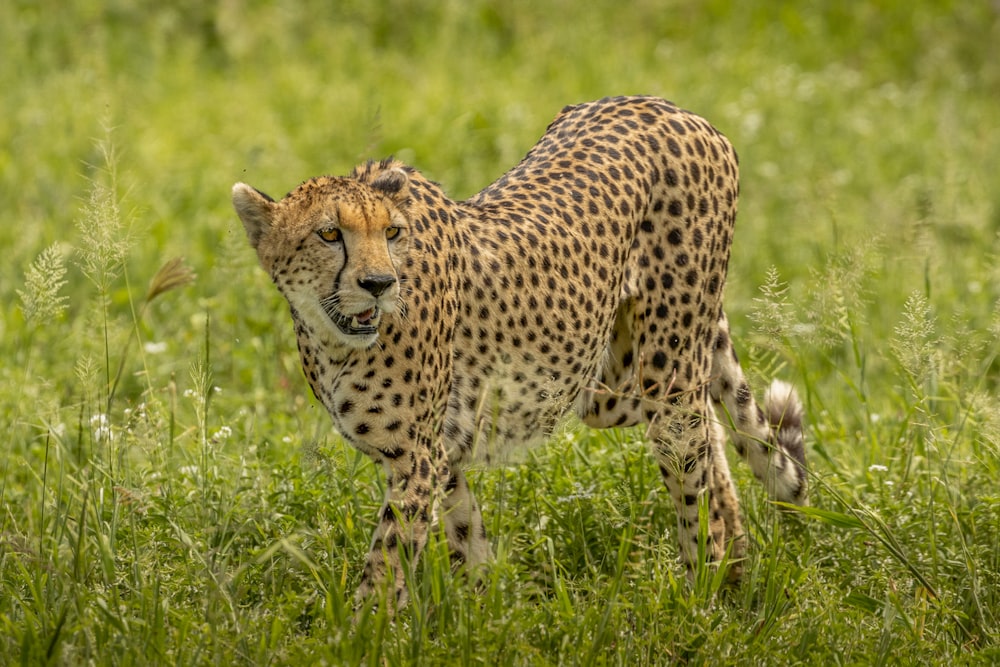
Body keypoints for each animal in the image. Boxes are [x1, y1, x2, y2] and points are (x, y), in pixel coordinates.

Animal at [232, 94, 804, 612]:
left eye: (391, 232)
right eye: (329, 233)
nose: (379, 283)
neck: (334, 339)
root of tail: (672, 107)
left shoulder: (417, 458)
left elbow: (386, 566)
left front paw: (359, 636)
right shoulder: (440, 453)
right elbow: (467, 536)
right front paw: (485, 619)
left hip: (658, 366)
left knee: (689, 453)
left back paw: (700, 597)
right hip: (608, 379)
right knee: (706, 423)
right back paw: (735, 565)